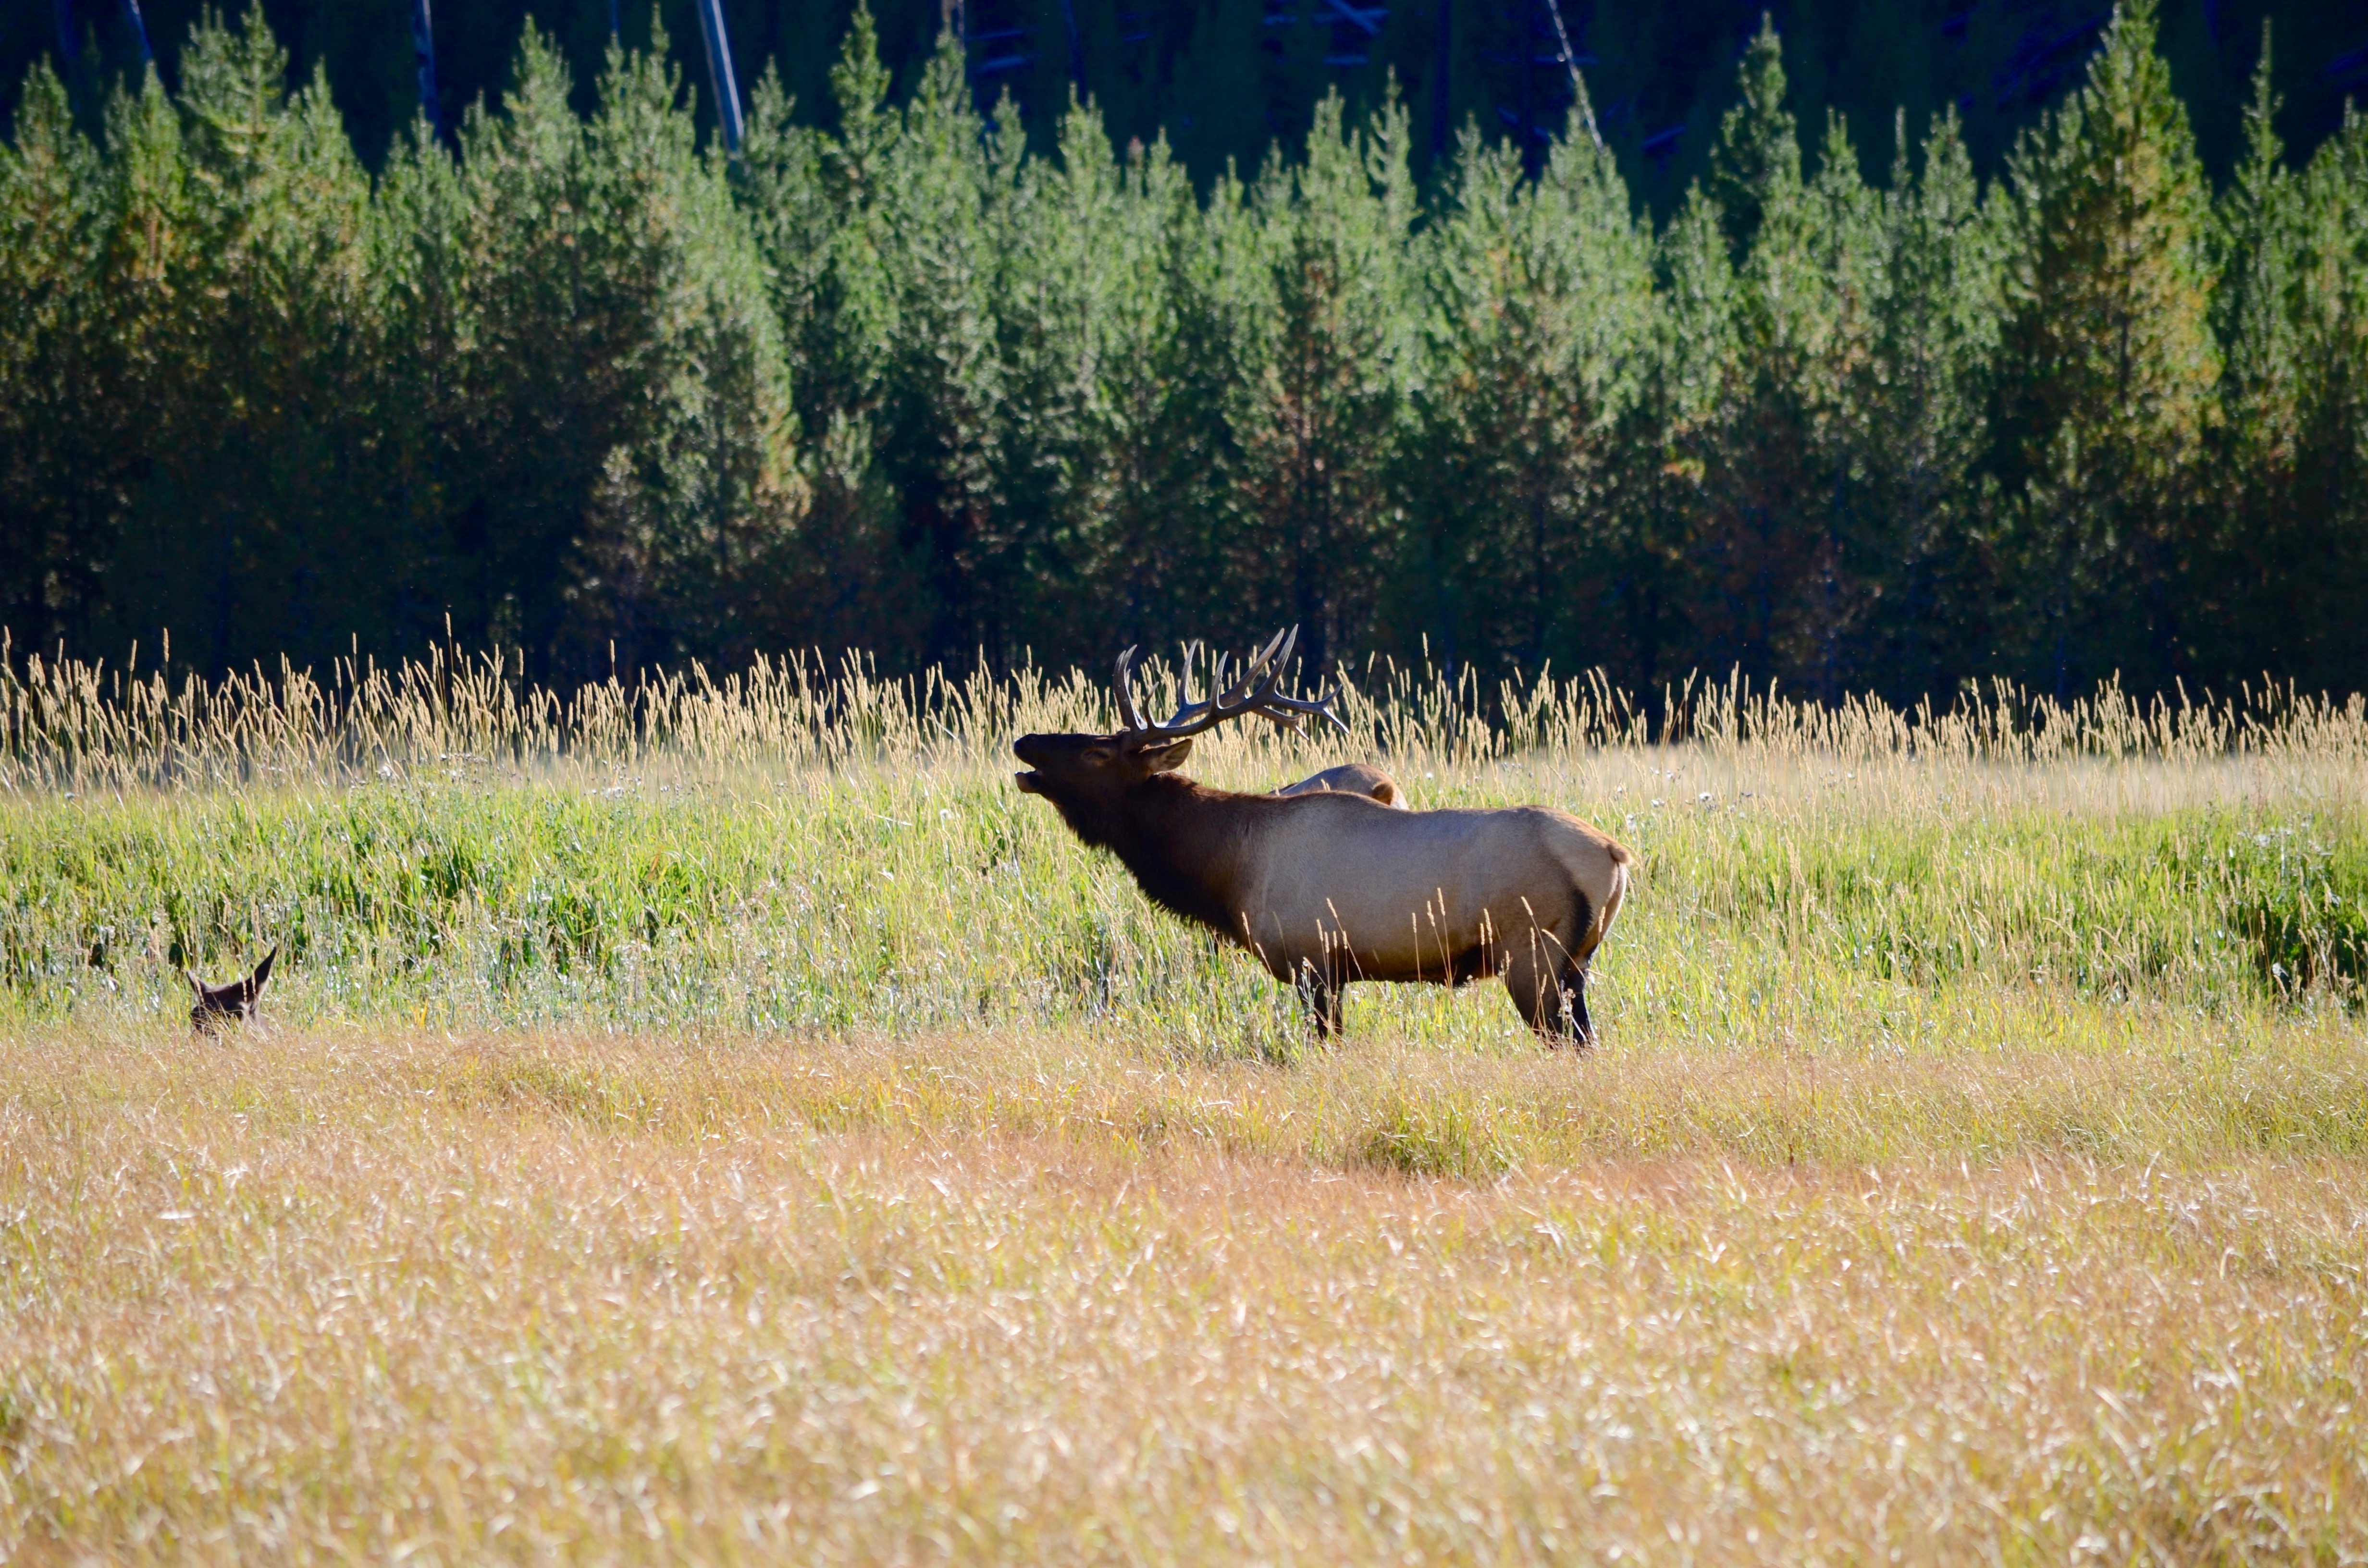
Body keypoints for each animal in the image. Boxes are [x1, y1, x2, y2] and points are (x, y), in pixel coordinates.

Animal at [1012, 629, 1631, 1045]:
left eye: (1097, 752)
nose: (1024, 743)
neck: (1228, 870)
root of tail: (1616, 858)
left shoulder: (1314, 961)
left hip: (1534, 956)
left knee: (1569, 1043)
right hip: (1577, 965)